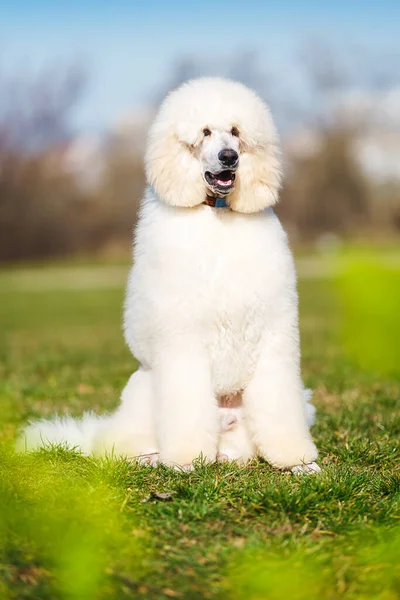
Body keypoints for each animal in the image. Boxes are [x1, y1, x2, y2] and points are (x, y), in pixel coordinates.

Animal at [20, 78, 320, 474]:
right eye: (204, 132)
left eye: (236, 131)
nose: (229, 157)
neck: (218, 215)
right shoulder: (182, 338)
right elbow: (186, 405)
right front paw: (186, 460)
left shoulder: (272, 333)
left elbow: (278, 403)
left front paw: (297, 461)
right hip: (143, 395)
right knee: (117, 448)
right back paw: (154, 458)